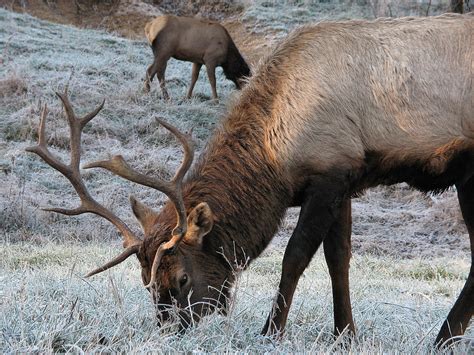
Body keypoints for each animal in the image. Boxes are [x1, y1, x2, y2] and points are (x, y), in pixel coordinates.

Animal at [29, 13, 474, 348]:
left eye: (182, 278)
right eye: (146, 282)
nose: (170, 333)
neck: (277, 159)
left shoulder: (328, 173)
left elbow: (295, 257)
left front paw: (271, 332)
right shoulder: (343, 177)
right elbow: (339, 260)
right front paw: (345, 335)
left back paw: (443, 339)